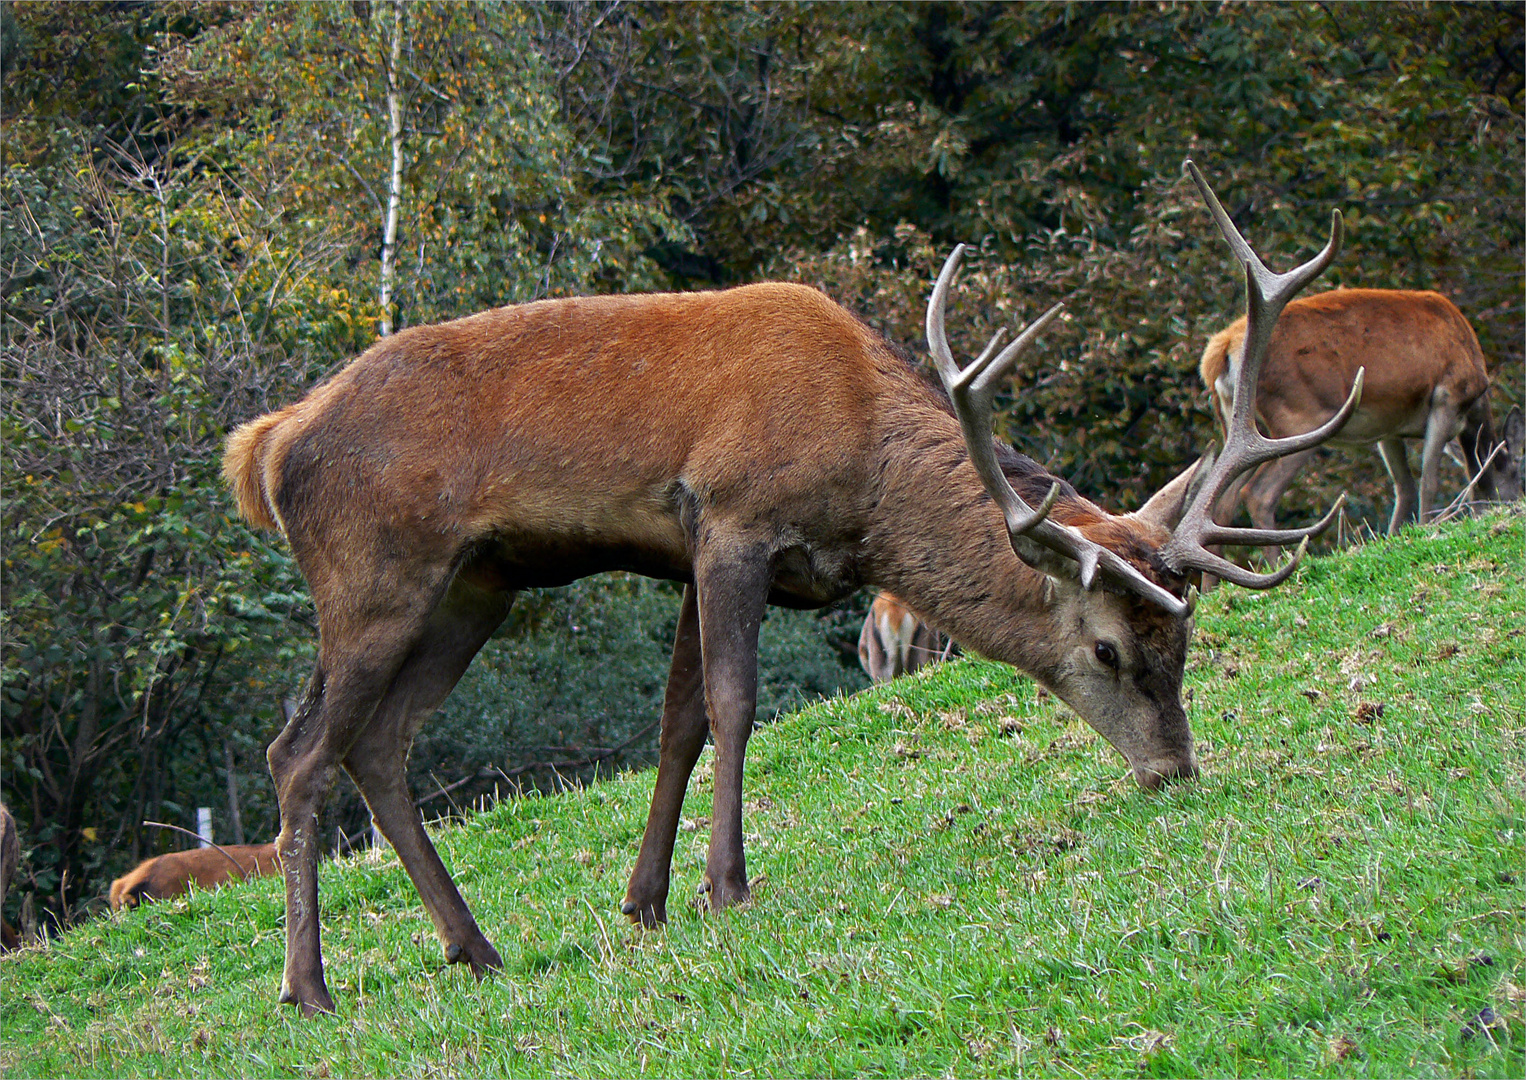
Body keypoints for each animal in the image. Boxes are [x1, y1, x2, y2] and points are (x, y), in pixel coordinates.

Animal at [218, 160, 1361, 1012]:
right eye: (1109, 649)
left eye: (1185, 644)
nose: (1172, 770)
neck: (864, 478)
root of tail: (266, 447)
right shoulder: (731, 518)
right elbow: (732, 704)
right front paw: (727, 887)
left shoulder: (692, 551)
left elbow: (677, 719)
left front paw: (644, 902)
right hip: (373, 575)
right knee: (298, 752)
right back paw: (308, 988)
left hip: (473, 586)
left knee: (380, 745)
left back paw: (477, 949)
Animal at [1196, 288, 1519, 536]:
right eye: (1518, 475)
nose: (1516, 505)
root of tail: (1220, 350)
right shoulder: (1447, 397)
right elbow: (1431, 481)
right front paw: (1427, 529)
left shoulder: (1389, 428)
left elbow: (1405, 488)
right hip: (1299, 419)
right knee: (1259, 494)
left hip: (1239, 425)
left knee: (1223, 502)